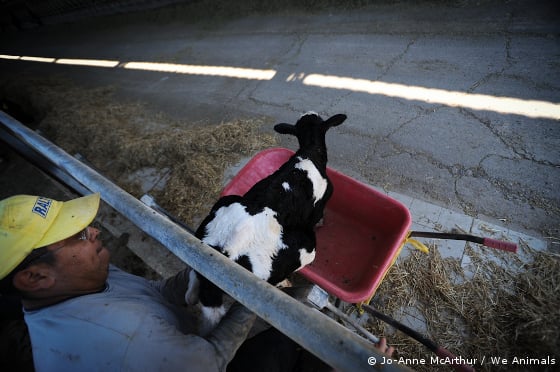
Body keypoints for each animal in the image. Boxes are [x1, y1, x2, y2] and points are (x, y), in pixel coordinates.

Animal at [186, 111, 348, 332]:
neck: (308, 153)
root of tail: (224, 249)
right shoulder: (319, 206)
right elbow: (318, 216)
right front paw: (321, 222)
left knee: (191, 286)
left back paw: (192, 294)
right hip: (303, 250)